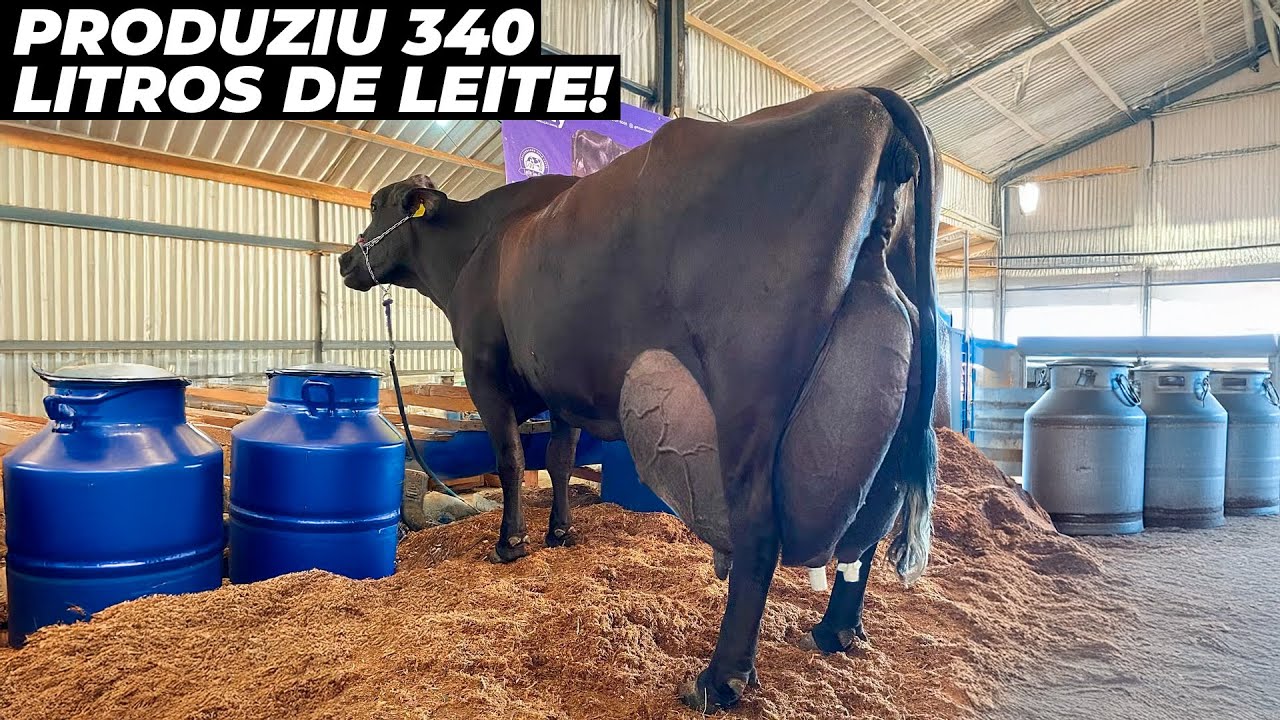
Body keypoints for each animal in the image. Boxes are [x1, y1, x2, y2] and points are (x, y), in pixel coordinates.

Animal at [338, 87, 941, 713]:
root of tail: (865, 98)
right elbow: (559, 459)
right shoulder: (562, 385)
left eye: (380, 203)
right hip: (897, 396)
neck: (479, 245)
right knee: (873, 517)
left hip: (749, 400)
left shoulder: (484, 370)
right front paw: (560, 533)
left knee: (759, 529)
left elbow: (510, 460)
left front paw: (511, 543)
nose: (345, 260)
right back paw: (835, 631)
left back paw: (718, 679)